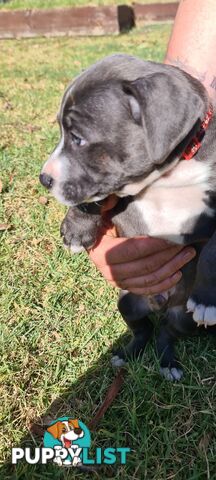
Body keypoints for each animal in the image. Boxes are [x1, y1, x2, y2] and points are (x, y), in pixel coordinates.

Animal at [40, 54, 216, 380]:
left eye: (78, 139)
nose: (44, 179)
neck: (168, 172)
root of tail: (160, 304)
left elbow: (212, 251)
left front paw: (207, 300)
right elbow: (96, 197)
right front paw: (76, 229)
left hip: (183, 318)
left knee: (167, 333)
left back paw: (168, 363)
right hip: (128, 303)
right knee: (143, 330)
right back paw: (127, 353)